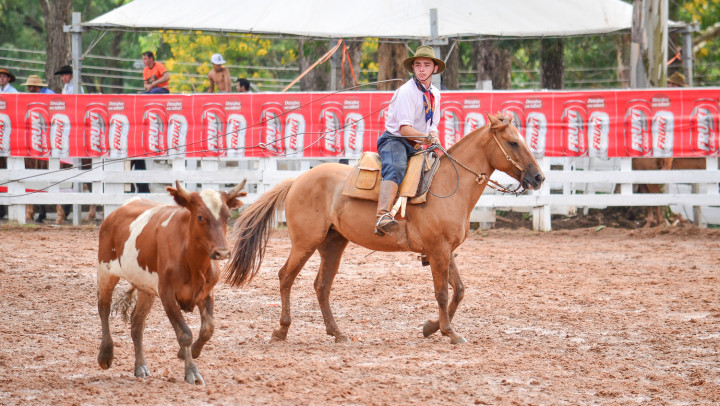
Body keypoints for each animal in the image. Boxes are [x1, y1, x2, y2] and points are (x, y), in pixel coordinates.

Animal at [97, 180, 246, 384]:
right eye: (200, 216)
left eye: (227, 216)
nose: (222, 252)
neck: (192, 261)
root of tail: (115, 213)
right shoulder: (167, 294)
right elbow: (184, 334)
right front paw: (192, 371)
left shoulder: (207, 292)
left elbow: (208, 329)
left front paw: (188, 353)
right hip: (105, 270)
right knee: (103, 308)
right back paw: (105, 354)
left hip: (146, 287)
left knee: (137, 323)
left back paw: (140, 366)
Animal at [228, 112, 544, 344]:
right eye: (513, 143)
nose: (538, 177)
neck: (448, 186)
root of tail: (297, 180)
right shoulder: (438, 250)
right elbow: (442, 292)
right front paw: (449, 332)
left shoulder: (446, 250)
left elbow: (459, 291)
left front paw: (431, 327)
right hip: (305, 243)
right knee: (285, 277)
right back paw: (281, 330)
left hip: (333, 244)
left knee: (321, 286)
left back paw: (338, 333)